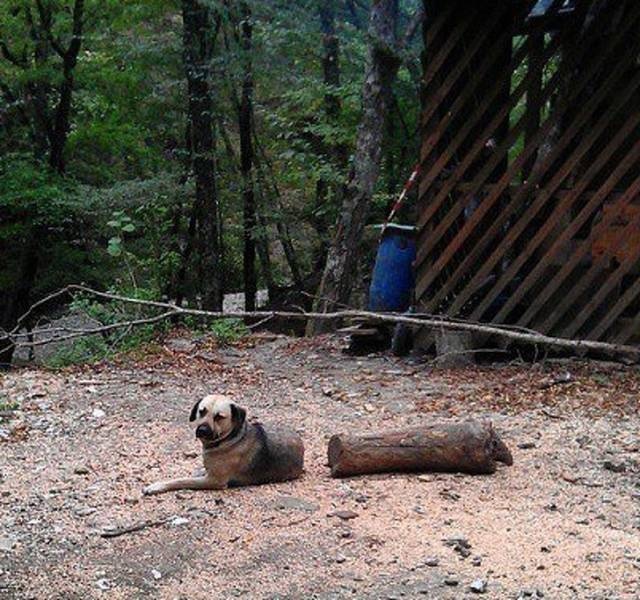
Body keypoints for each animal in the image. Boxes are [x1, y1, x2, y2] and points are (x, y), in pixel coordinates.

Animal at [144, 392, 304, 494]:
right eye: (202, 411)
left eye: (219, 417)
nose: (202, 430)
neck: (228, 440)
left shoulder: (214, 481)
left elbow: (181, 481)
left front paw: (157, 486)